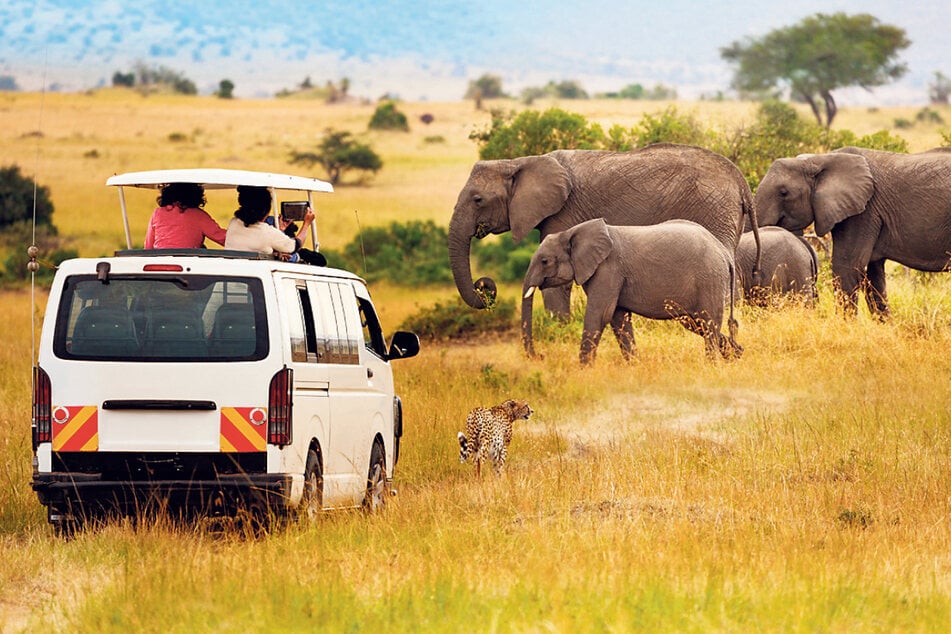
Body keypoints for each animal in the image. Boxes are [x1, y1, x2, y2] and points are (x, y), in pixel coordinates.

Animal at [520, 217, 744, 362]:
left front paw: (583, 370)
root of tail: (724, 253)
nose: (540, 356)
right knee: (697, 323)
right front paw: (633, 365)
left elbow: (600, 314)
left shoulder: (608, 269)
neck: (571, 232)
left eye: (545, 261)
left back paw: (713, 364)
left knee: (707, 322)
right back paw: (737, 354)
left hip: (709, 279)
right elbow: (618, 318)